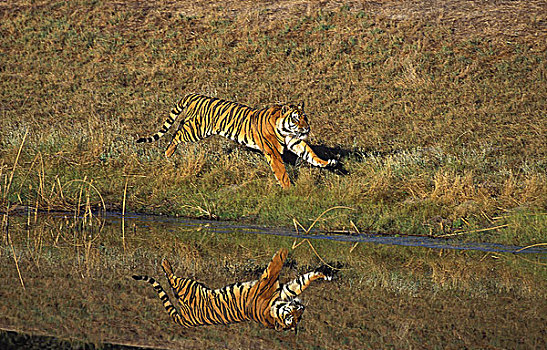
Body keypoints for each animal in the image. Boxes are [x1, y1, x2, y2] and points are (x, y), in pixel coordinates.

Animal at [132, 247, 334, 332]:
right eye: (295, 314)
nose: (300, 307)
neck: (274, 308)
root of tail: (183, 319)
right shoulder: (284, 291)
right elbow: (300, 281)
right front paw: (324, 274)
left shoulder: (267, 286)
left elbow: (274, 269)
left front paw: (283, 252)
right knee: (170, 279)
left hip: (189, 286)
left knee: (172, 280)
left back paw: (165, 262)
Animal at [136, 91, 338, 187]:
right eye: (296, 119)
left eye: (305, 117)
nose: (307, 128)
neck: (285, 129)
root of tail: (197, 96)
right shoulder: (273, 151)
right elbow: (281, 171)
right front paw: (288, 188)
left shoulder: (295, 141)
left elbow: (311, 154)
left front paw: (328, 163)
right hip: (197, 130)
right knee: (177, 134)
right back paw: (168, 153)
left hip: (194, 126)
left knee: (178, 126)